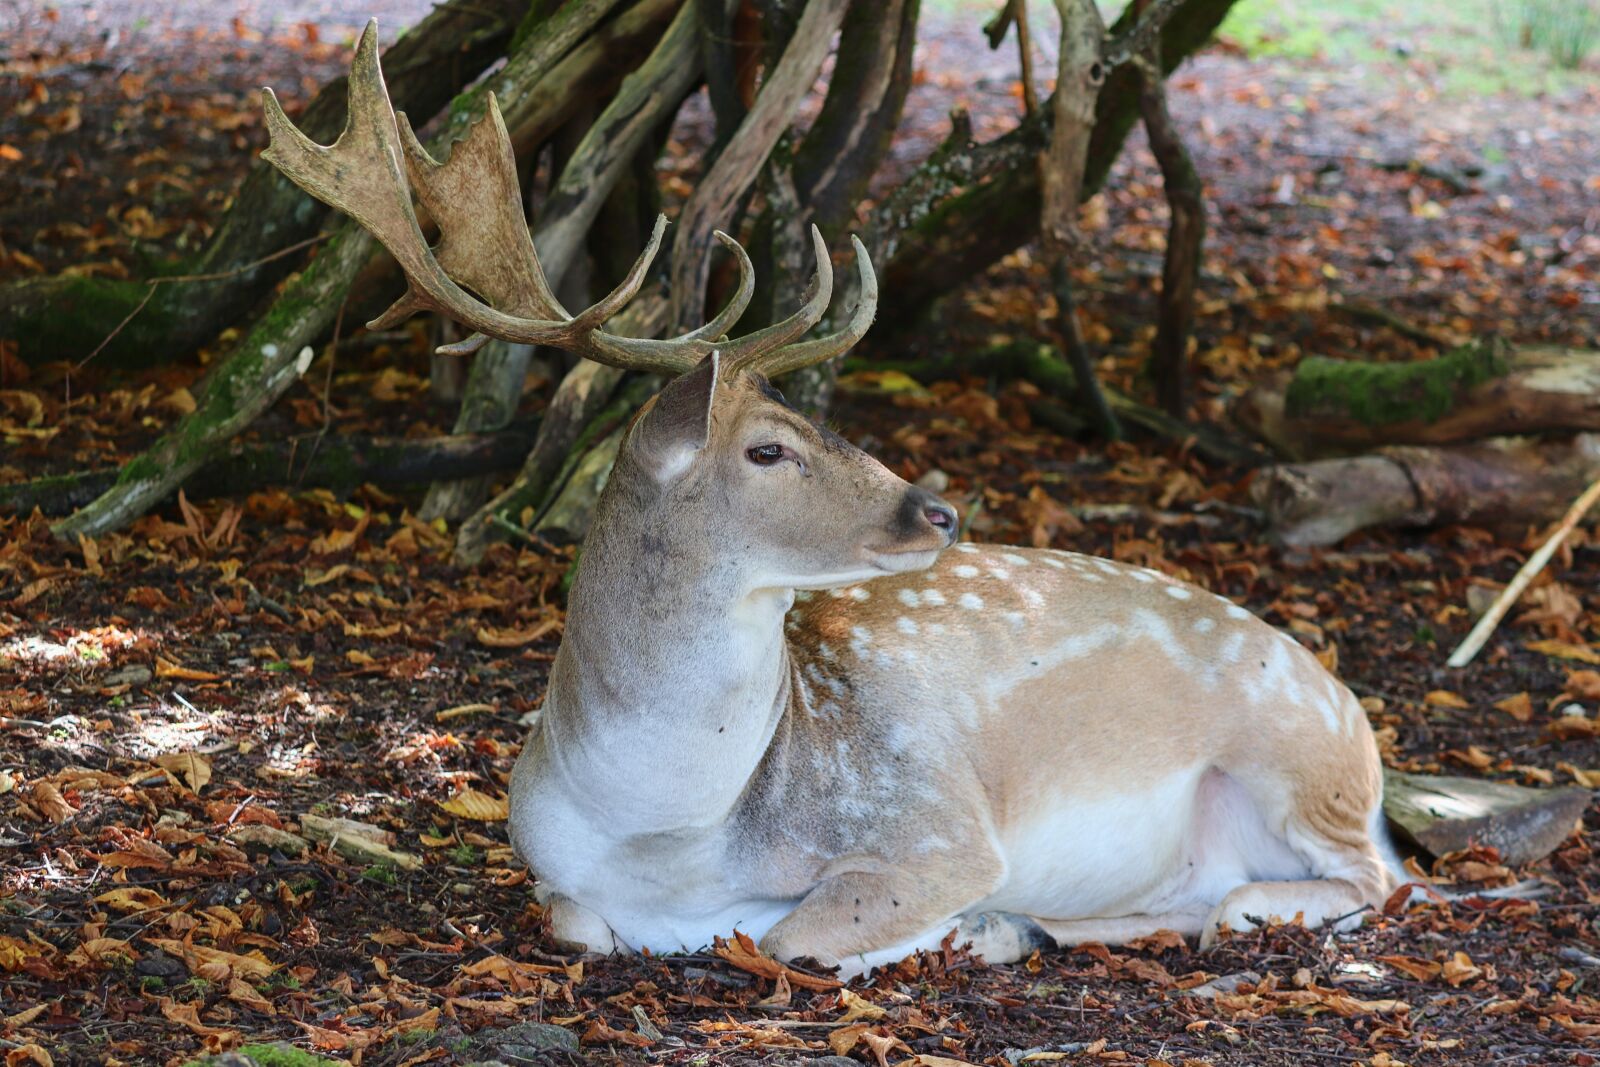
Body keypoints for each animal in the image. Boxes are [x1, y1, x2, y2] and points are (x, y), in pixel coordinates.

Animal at [261, 22, 1406, 976]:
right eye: (769, 448)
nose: (937, 511)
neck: (668, 834)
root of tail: (1358, 716)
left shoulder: (936, 825)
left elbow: (791, 935)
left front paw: (945, 925)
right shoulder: (551, 869)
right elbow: (583, 922)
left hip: (1298, 761)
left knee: (1369, 882)